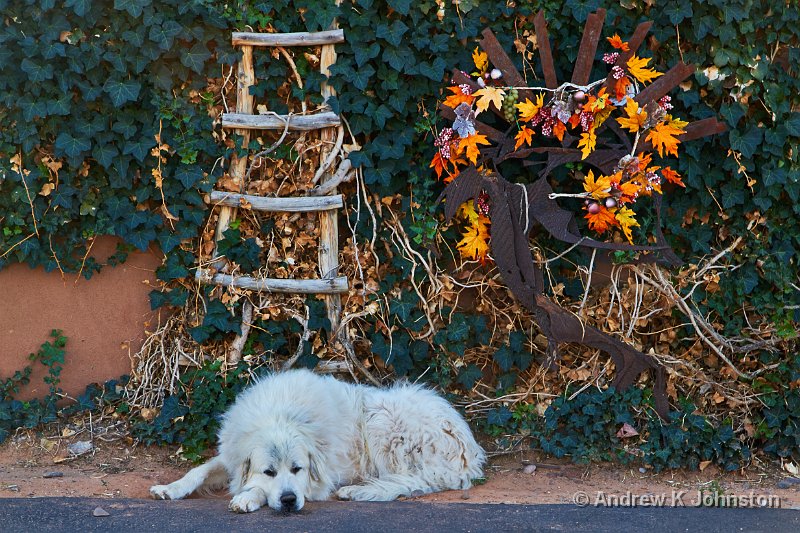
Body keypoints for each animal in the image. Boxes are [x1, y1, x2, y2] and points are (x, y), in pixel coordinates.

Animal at [151, 370, 488, 512]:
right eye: (269, 470)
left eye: (297, 469)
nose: (289, 501)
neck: (281, 415)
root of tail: (468, 447)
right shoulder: (232, 454)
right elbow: (199, 470)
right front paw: (170, 488)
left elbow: (256, 489)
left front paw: (248, 497)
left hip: (383, 419)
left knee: (411, 480)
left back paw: (359, 489)